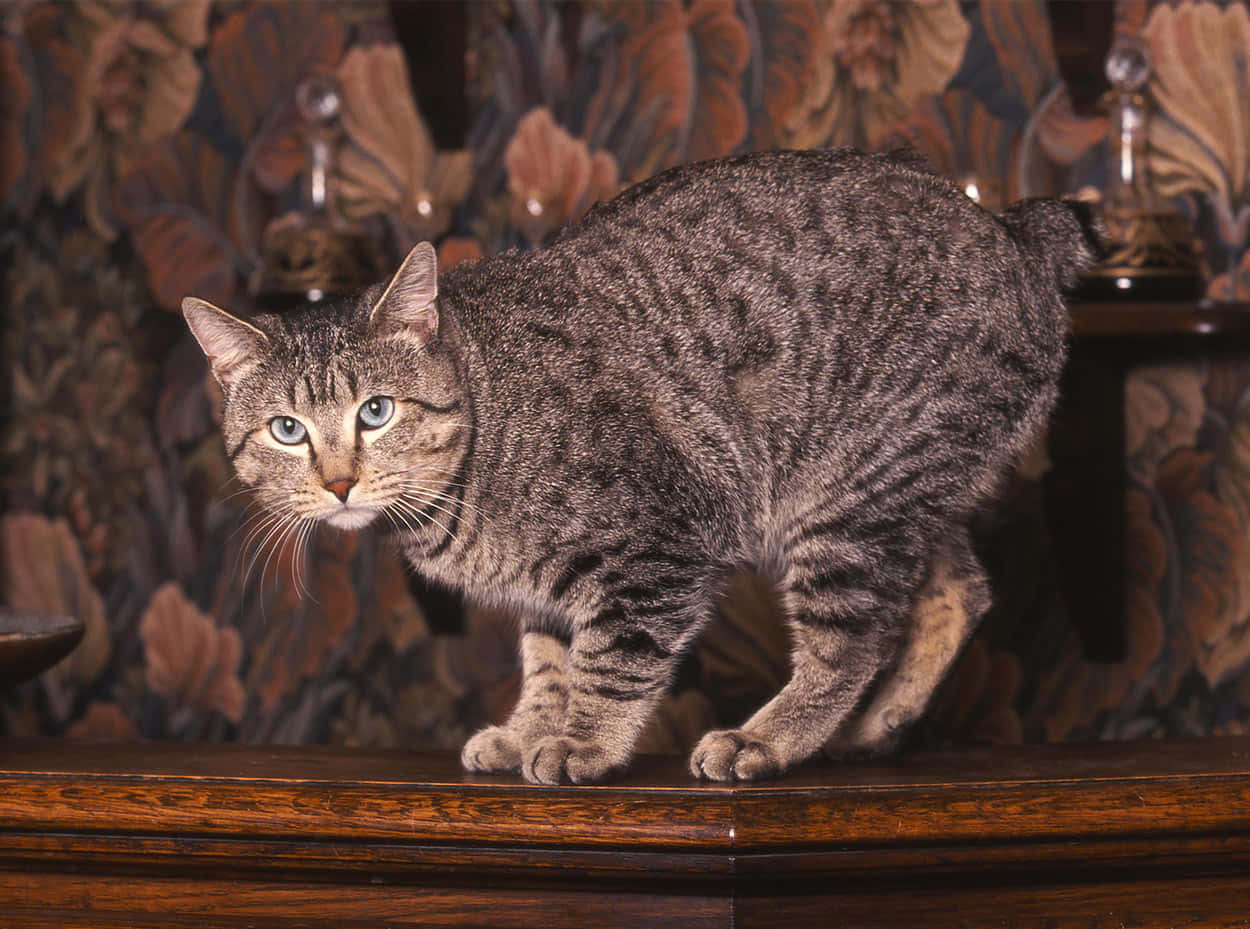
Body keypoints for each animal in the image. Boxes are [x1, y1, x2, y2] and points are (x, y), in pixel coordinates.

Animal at [181, 146, 1100, 785]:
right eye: (287, 430)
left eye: (376, 412)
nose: (338, 481)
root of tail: (1011, 228)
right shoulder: (548, 587)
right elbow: (550, 659)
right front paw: (533, 727)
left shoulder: (658, 542)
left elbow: (616, 655)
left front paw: (582, 741)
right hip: (907, 491)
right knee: (957, 591)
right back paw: (873, 727)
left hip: (846, 499)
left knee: (852, 639)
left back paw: (772, 736)